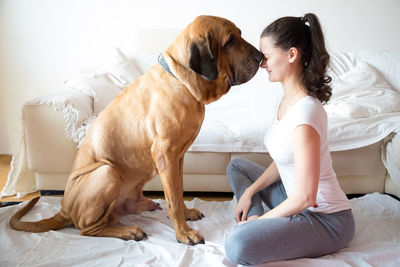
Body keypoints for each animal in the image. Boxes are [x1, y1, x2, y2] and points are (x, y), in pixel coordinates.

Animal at [10, 15, 262, 246]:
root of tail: (63, 208)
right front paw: (183, 233)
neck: (181, 80)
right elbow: (174, 198)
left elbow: (178, 192)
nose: (261, 57)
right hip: (107, 172)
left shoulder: (178, 157)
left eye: (240, 35)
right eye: (230, 41)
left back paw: (144, 206)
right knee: (87, 229)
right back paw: (127, 231)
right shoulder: (166, 156)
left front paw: (186, 213)